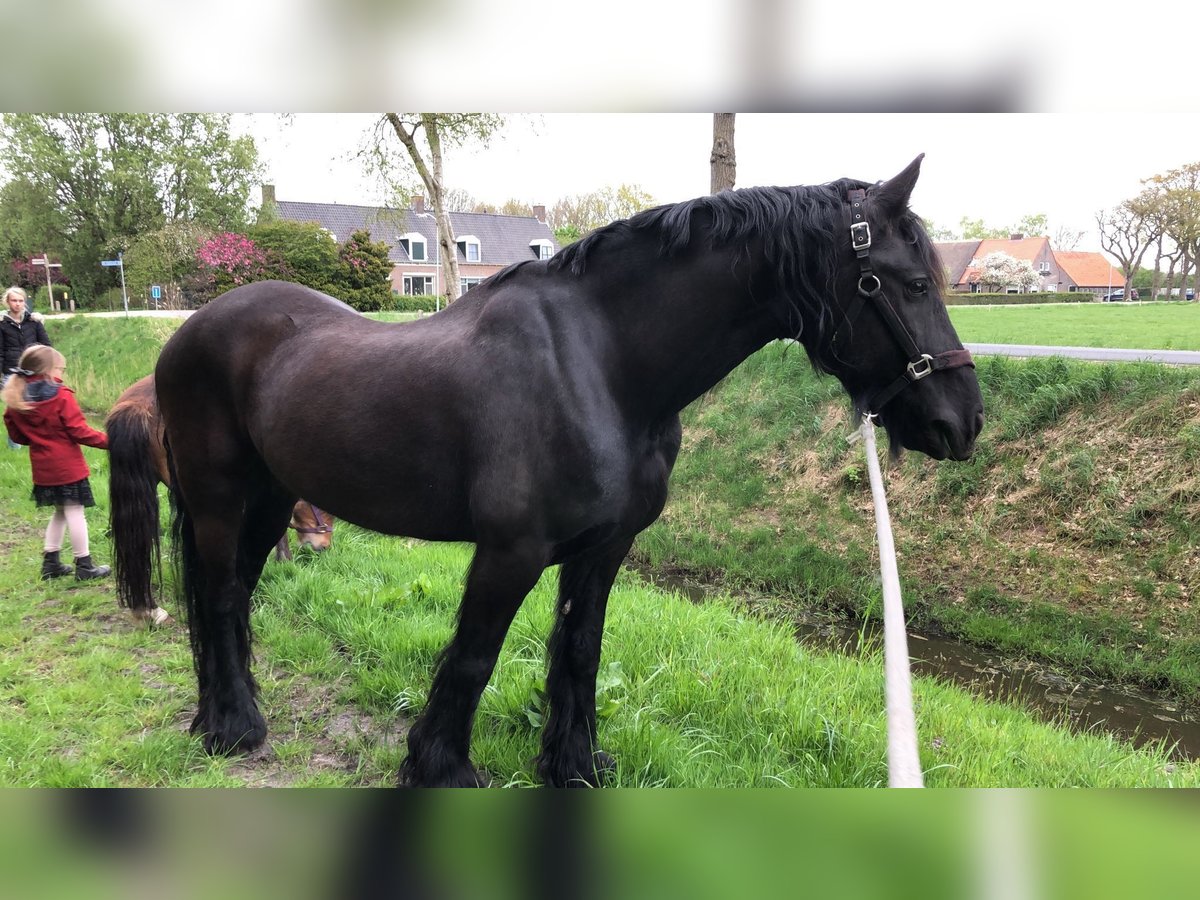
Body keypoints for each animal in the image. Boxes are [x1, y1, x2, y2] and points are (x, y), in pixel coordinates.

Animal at [157, 157, 984, 787]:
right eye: (910, 283)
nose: (964, 422)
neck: (604, 364)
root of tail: (190, 330)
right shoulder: (510, 553)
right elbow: (473, 657)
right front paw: (441, 767)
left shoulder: (604, 549)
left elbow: (579, 653)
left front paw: (575, 765)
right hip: (219, 500)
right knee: (222, 596)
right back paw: (232, 728)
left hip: (271, 498)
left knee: (237, 594)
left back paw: (228, 714)